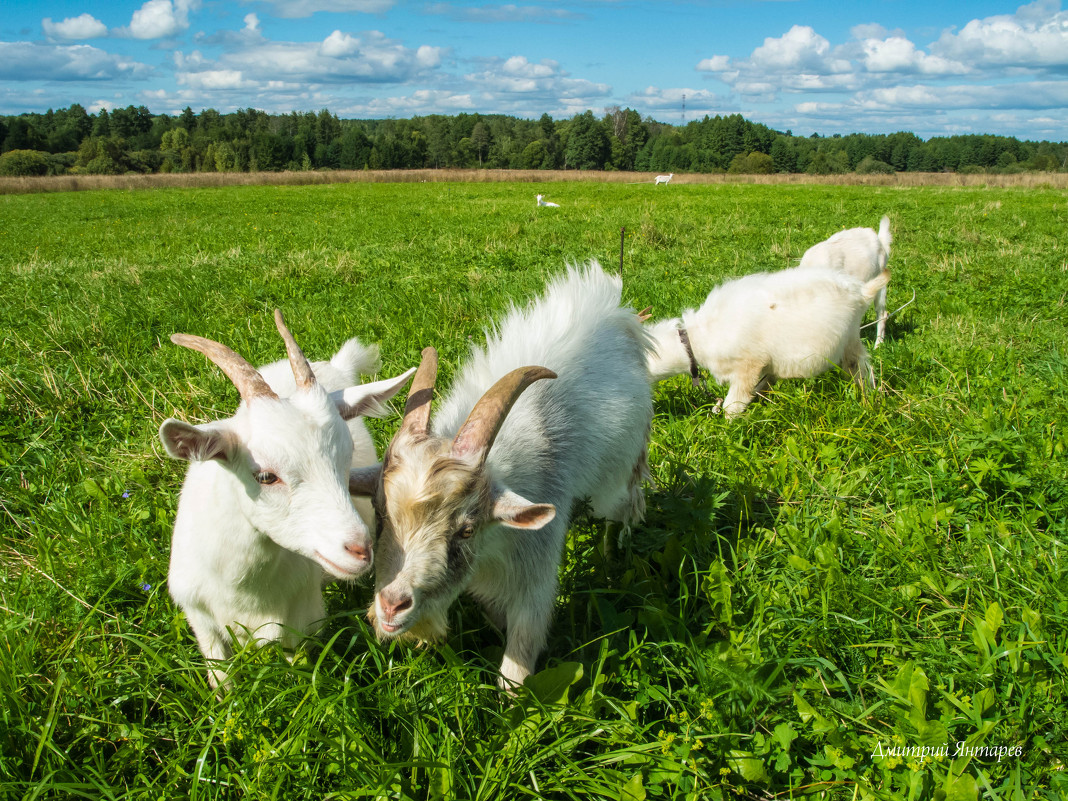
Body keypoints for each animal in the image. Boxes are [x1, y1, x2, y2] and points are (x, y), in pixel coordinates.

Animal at [160, 311, 414, 692]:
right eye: (265, 476)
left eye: (346, 458)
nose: (360, 550)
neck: (245, 590)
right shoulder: (199, 616)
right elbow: (220, 676)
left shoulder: (300, 617)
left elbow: (296, 664)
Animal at [350, 263, 653, 692]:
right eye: (380, 514)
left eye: (465, 529)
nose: (392, 605)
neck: (493, 544)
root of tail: (615, 306)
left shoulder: (534, 568)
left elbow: (520, 658)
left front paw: (515, 700)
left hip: (624, 470)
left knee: (621, 511)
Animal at [645, 270, 888, 420]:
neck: (698, 337)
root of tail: (861, 292)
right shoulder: (766, 366)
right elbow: (763, 385)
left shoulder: (748, 365)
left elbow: (732, 405)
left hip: (849, 340)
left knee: (862, 371)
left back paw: (869, 402)